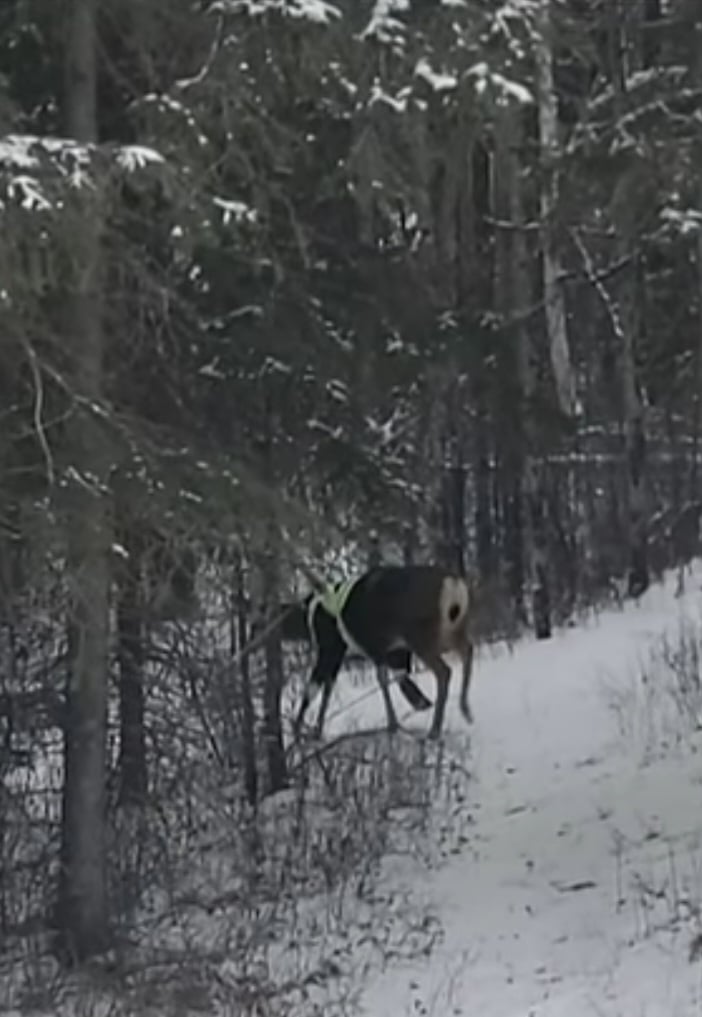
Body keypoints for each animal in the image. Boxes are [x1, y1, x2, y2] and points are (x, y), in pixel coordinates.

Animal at [288, 565, 476, 740]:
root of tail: (454, 585)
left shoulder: (353, 647)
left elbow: (381, 680)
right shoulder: (392, 650)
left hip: (419, 634)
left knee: (444, 670)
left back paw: (435, 730)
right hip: (451, 630)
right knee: (468, 650)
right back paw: (465, 709)